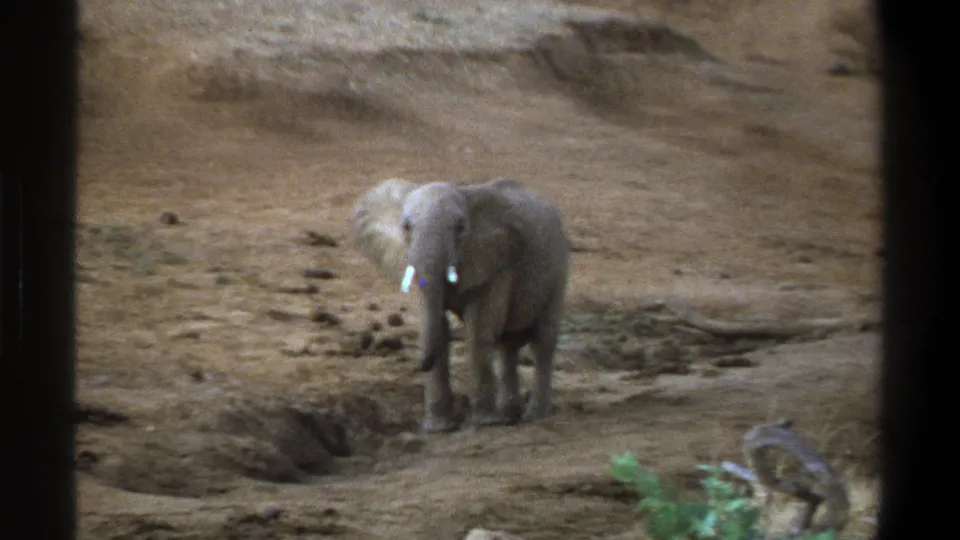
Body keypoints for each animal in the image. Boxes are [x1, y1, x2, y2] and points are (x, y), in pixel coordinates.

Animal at [348, 177, 571, 433]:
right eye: (406, 227)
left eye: (460, 228)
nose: (420, 365)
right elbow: (438, 330)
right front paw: (438, 429)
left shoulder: (496, 262)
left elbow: (478, 332)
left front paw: (485, 423)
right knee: (508, 346)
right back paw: (509, 414)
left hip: (559, 271)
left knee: (543, 343)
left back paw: (533, 415)